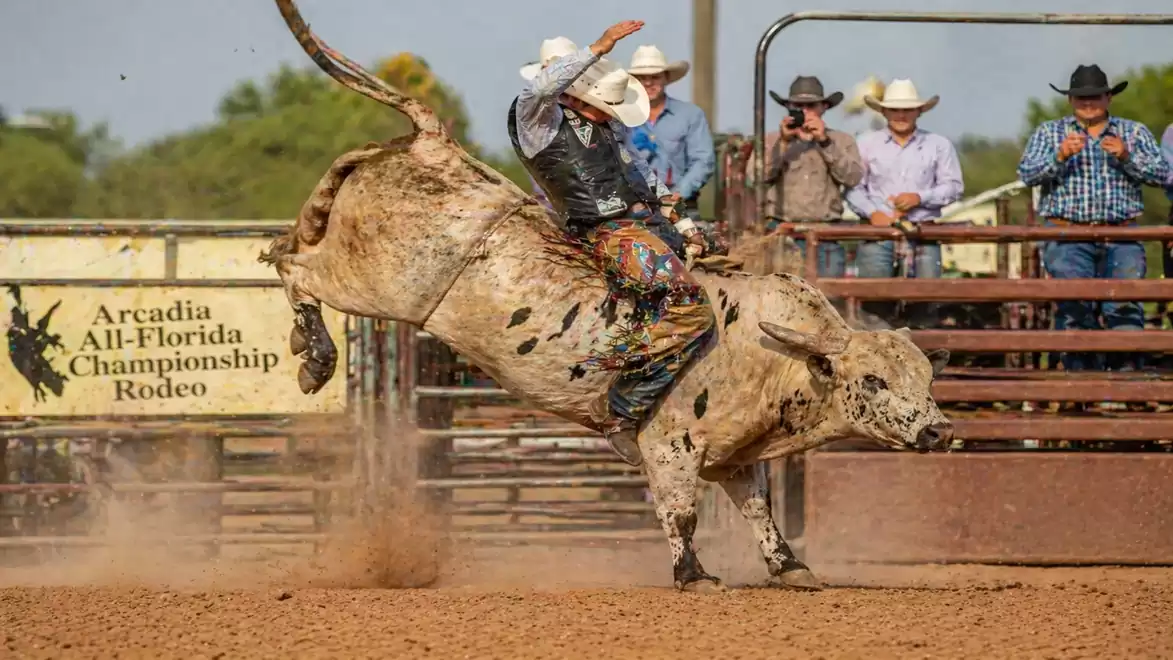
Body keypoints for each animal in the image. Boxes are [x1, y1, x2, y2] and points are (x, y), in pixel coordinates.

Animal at [262, 0, 955, 593]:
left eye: (925, 377)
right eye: (872, 380)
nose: (940, 431)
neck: (770, 356)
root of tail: (436, 144)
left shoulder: (738, 454)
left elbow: (761, 511)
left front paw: (791, 567)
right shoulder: (671, 446)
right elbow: (681, 513)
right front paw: (693, 575)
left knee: (287, 243)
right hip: (373, 283)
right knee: (293, 266)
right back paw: (315, 357)